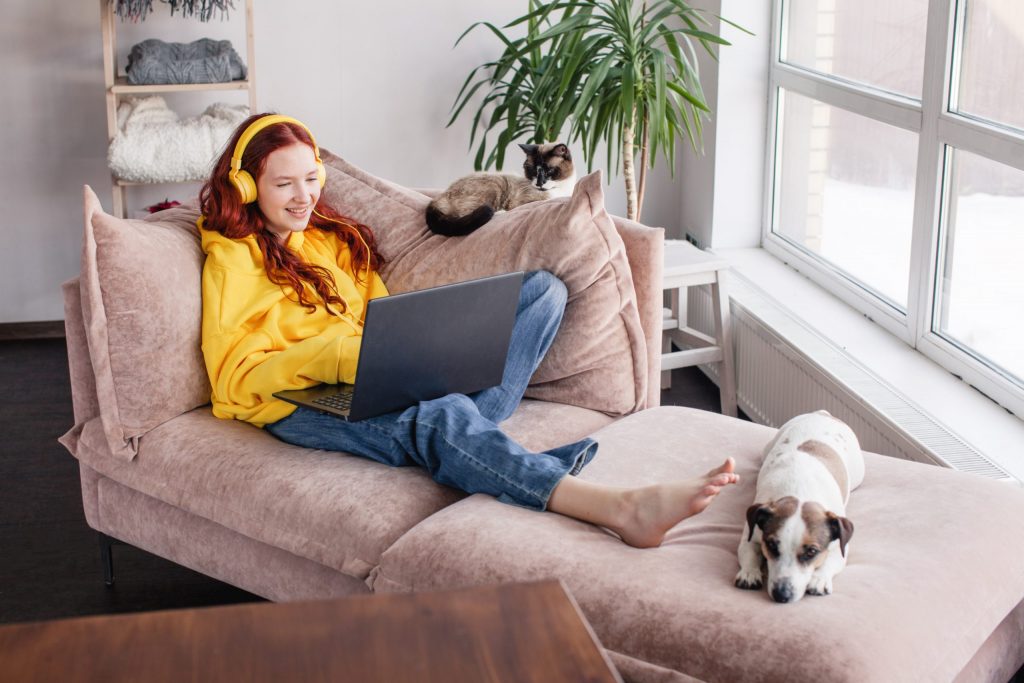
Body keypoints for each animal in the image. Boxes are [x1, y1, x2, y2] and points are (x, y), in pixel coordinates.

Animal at [419, 142, 573, 237]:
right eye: (533, 171)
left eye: (549, 171)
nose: (539, 183)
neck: (560, 189)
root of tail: (435, 200)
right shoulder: (522, 201)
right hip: (496, 185)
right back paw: (498, 213)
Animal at [737, 409, 864, 602]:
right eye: (771, 545)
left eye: (811, 552)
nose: (782, 594)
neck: (799, 493)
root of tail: (823, 414)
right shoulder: (751, 536)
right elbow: (749, 552)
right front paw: (749, 572)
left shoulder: (841, 547)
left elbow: (831, 561)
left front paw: (819, 579)